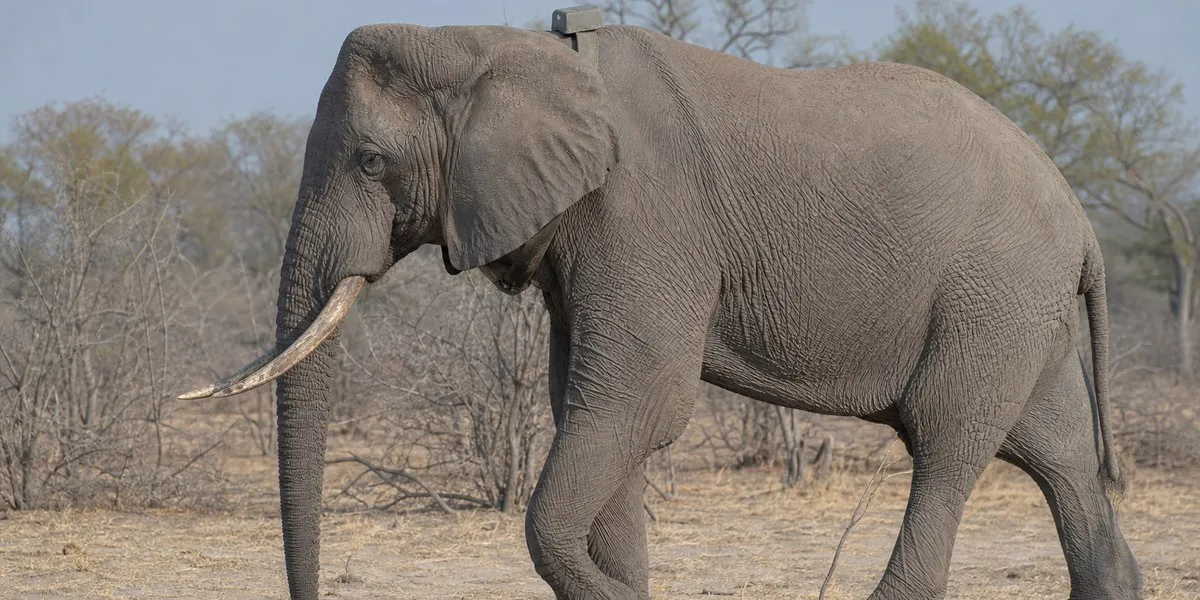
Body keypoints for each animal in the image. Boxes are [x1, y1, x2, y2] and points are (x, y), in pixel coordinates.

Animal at [180, 13, 1141, 600]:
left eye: (372, 162)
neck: (495, 44)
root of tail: (1082, 223)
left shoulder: (645, 214)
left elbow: (636, 403)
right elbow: (592, 406)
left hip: (992, 291)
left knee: (945, 444)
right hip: (1019, 306)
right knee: (1054, 453)